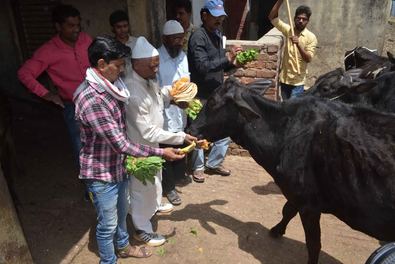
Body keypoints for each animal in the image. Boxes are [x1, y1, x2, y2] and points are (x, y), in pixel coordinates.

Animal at [188, 77, 395, 264]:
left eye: (212, 102)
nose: (191, 130)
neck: (284, 133)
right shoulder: (297, 192)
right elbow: (287, 210)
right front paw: (277, 230)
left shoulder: (309, 202)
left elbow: (313, 244)